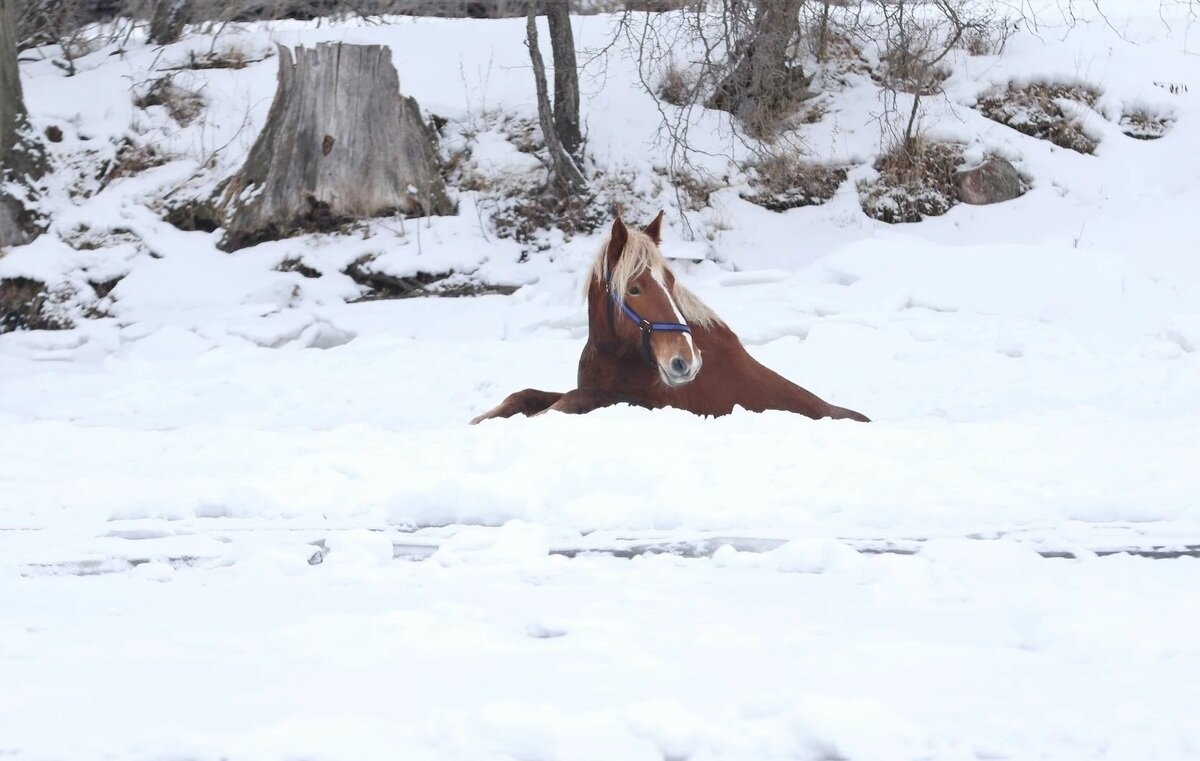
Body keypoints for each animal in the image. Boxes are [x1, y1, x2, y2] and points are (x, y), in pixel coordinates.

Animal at [470, 212, 873, 420]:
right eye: (634, 288)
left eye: (671, 281)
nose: (686, 362)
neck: (617, 357)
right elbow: (525, 395)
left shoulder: (639, 403)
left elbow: (568, 401)